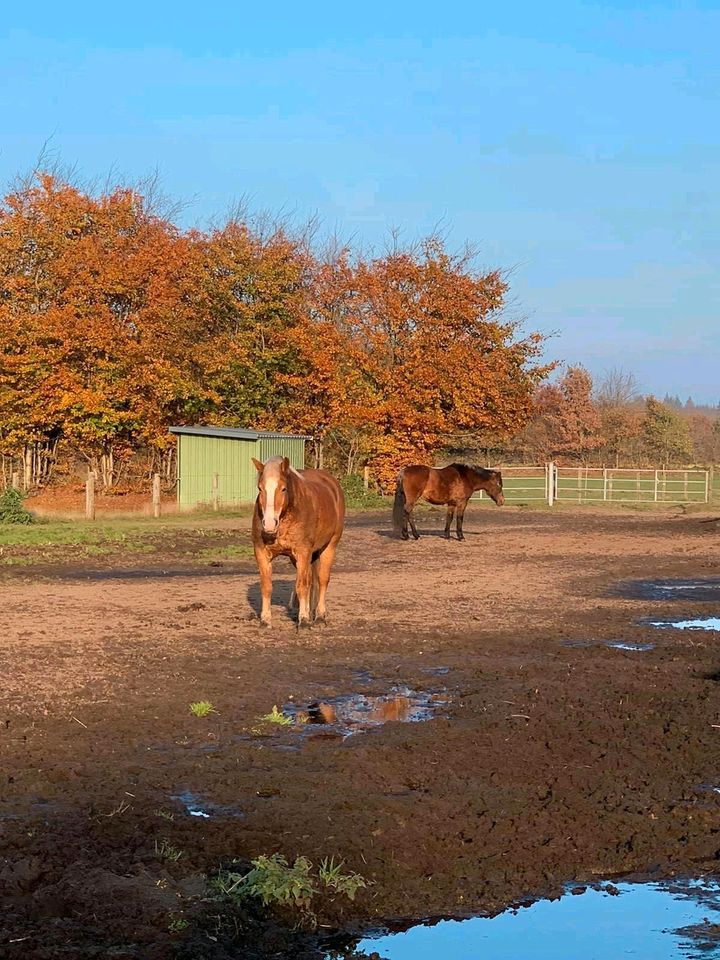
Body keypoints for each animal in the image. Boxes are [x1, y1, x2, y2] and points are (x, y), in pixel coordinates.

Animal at [252, 458, 344, 632]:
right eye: (260, 488)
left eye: (283, 488)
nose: (269, 524)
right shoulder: (262, 553)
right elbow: (267, 587)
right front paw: (265, 620)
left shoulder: (303, 552)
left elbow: (302, 586)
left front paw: (304, 621)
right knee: (309, 580)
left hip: (329, 547)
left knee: (322, 580)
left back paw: (319, 616)